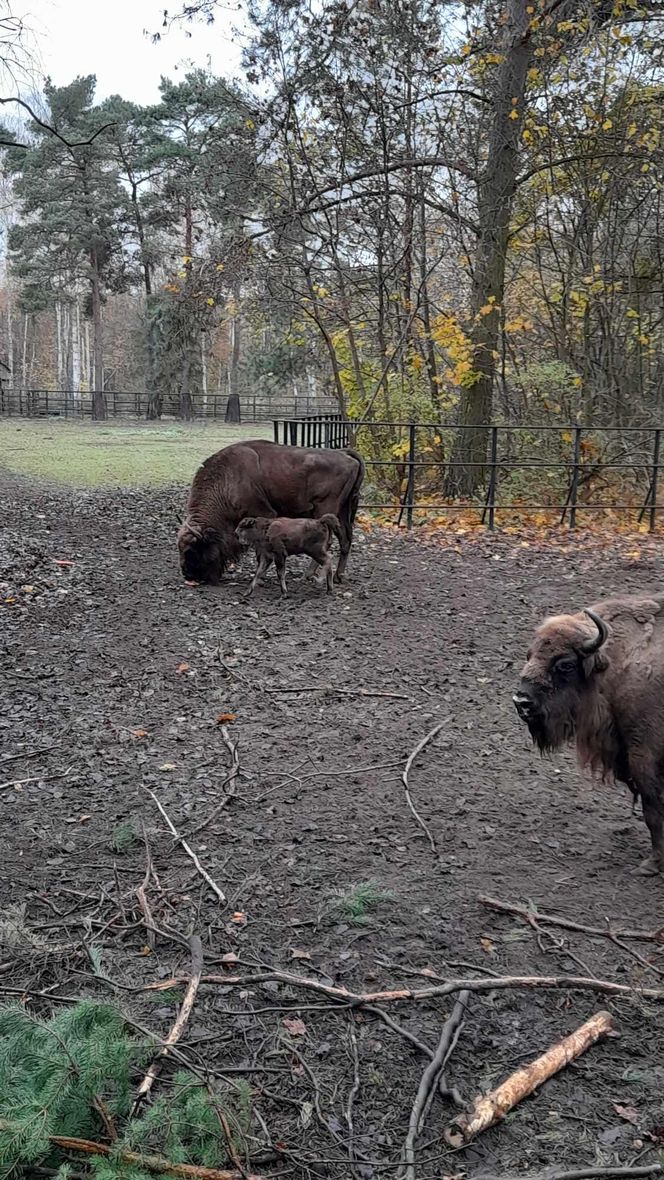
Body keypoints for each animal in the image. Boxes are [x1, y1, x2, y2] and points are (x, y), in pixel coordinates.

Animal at [176, 441, 365, 587]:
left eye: (193, 549)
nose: (188, 575)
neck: (227, 481)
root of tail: (345, 455)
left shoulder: (263, 514)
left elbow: (261, 549)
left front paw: (259, 578)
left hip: (325, 509)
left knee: (328, 542)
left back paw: (308, 576)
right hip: (343, 512)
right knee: (346, 540)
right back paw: (338, 576)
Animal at [514, 594, 664, 873]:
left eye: (565, 664)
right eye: (530, 654)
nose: (522, 701)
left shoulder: (643, 755)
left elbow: (652, 809)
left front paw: (650, 865)